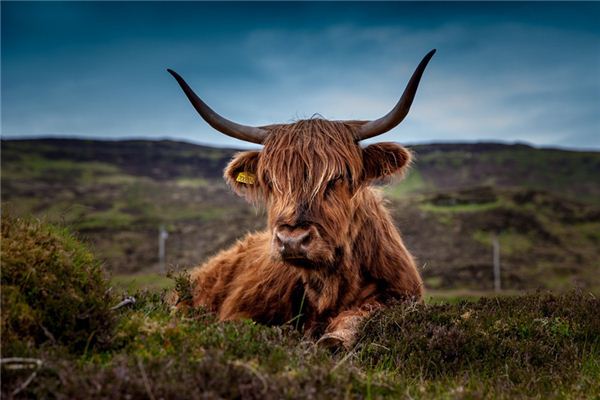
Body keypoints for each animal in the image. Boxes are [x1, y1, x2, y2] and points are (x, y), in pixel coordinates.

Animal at [169, 49, 436, 350]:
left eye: (338, 177)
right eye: (271, 180)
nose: (292, 240)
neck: (329, 287)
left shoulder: (401, 296)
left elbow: (362, 314)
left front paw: (334, 338)